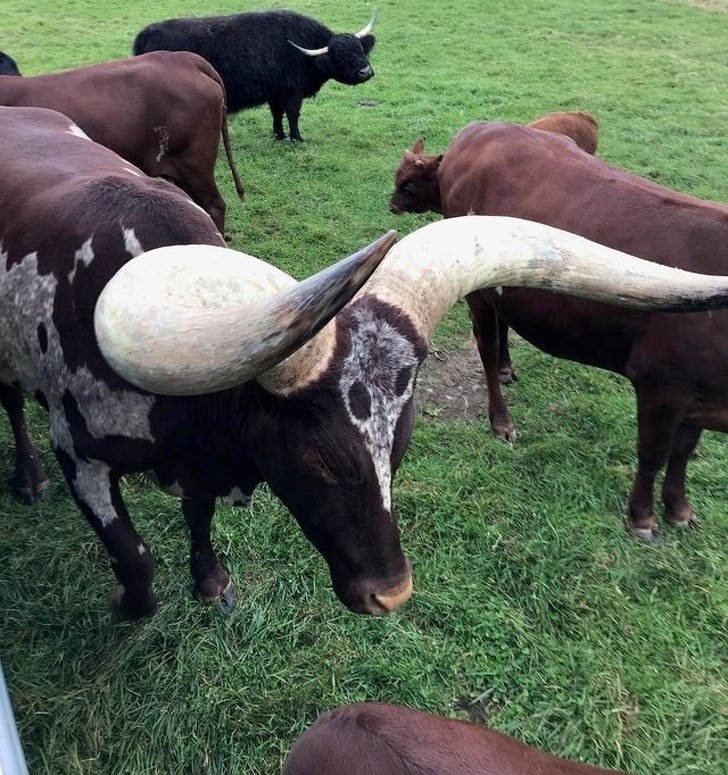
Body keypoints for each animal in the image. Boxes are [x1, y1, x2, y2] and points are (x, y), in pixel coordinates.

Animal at [390, 123, 728, 544]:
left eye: (406, 182)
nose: (392, 204)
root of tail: (479, 129)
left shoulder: (695, 394)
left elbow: (682, 450)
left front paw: (679, 508)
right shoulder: (661, 385)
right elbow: (653, 453)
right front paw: (642, 517)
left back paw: (505, 369)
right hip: (476, 288)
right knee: (486, 345)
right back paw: (501, 420)